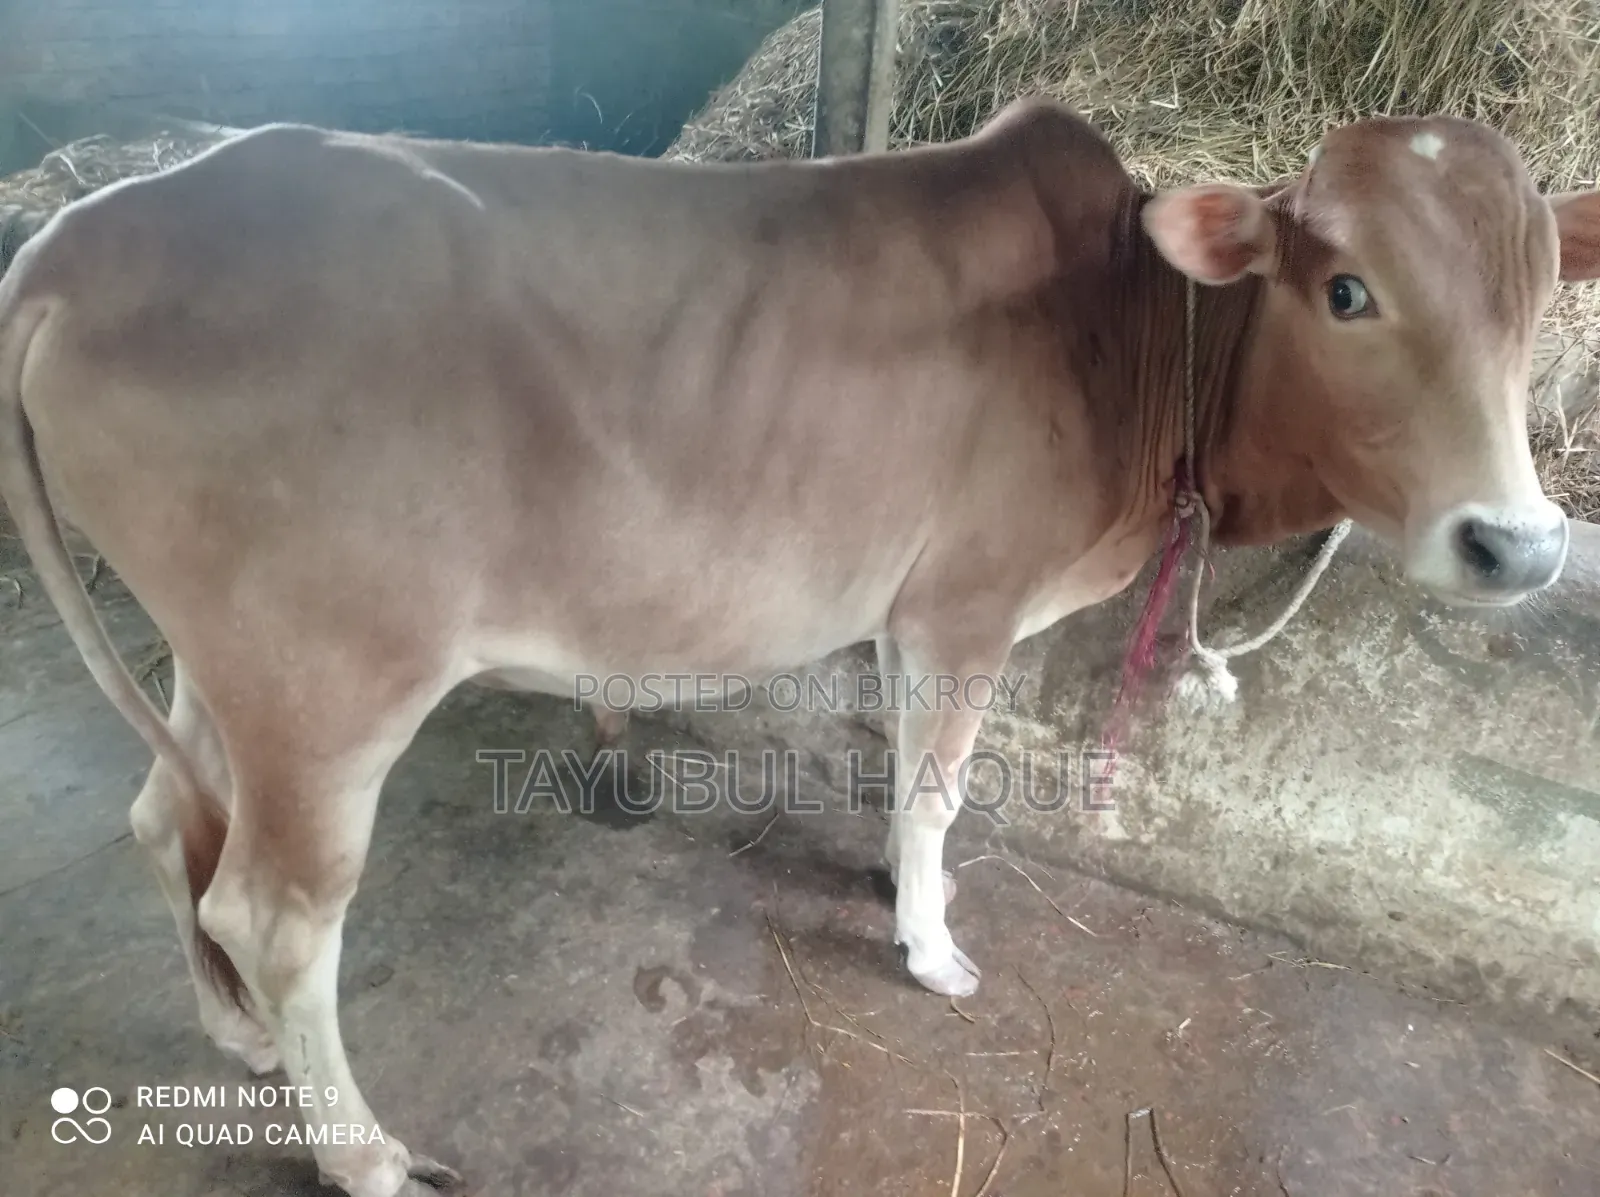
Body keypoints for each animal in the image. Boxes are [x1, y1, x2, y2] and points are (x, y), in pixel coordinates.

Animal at [1, 96, 1595, 1195]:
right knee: (275, 913)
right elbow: (942, 784)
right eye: (1347, 289)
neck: (1134, 341)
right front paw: (933, 948)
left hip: (224, 667)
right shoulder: (966, 601)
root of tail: (82, 234)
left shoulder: (906, 609)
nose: (1517, 546)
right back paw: (365, 1150)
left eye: (1534, 301)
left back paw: (239, 1044)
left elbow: (901, 770)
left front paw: (897, 887)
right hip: (329, 683)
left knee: (168, 824)